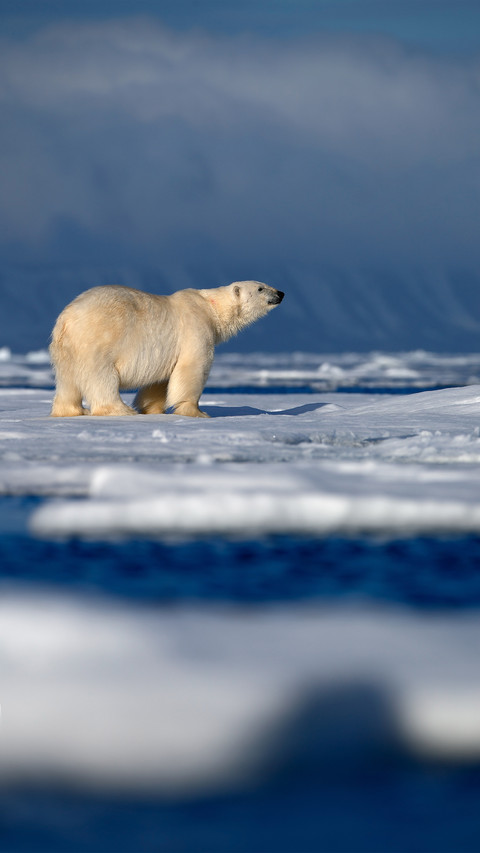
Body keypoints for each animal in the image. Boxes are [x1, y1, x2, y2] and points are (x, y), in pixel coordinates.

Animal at [49, 281, 284, 418]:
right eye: (260, 288)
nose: (281, 293)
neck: (212, 308)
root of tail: (67, 318)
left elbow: (160, 381)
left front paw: (152, 409)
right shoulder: (196, 328)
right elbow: (192, 368)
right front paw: (196, 412)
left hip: (66, 349)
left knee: (67, 381)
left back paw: (72, 410)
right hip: (98, 340)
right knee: (101, 377)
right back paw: (119, 410)